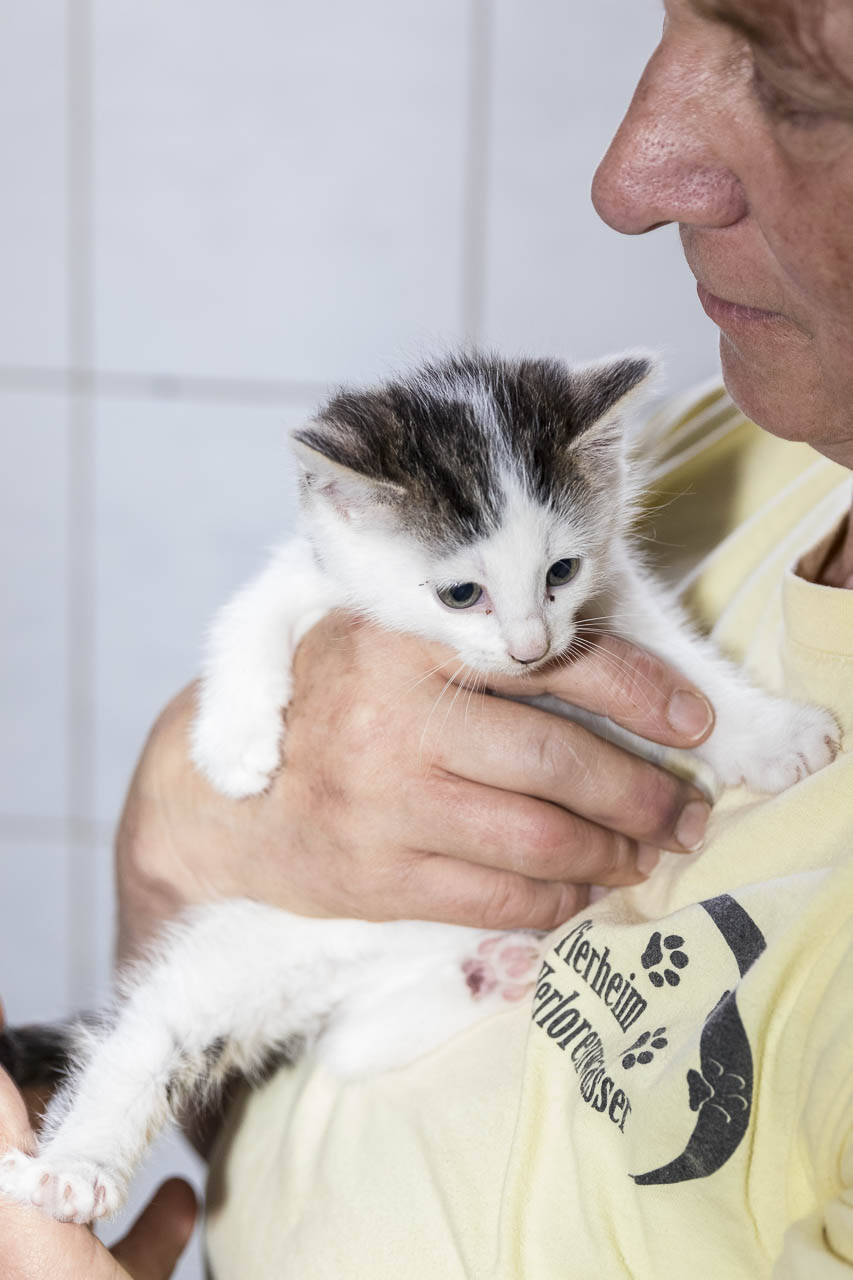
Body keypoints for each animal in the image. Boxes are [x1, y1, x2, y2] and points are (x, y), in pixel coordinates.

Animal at [0, 350, 840, 1225]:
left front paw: (772, 734)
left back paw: (486, 974)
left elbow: (688, 677)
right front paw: (234, 747)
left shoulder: (617, 606)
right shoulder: (316, 575)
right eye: (460, 594)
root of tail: (330, 976)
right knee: (150, 1035)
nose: (529, 647)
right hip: (239, 957)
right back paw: (74, 1166)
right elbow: (250, 614)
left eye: (561, 571)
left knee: (347, 1046)